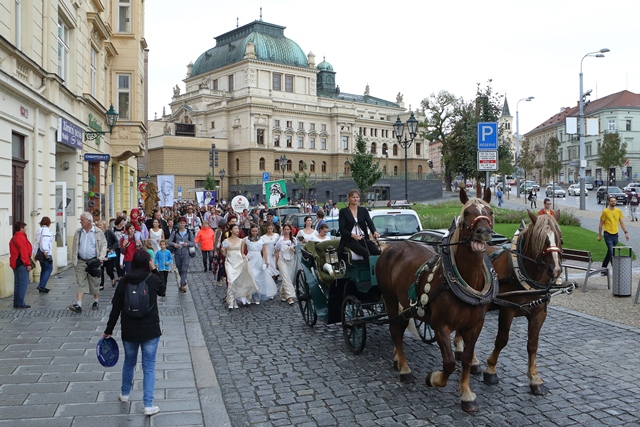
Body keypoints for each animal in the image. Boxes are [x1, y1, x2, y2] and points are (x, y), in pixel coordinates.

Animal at [376, 189, 496, 412]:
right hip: (389, 298)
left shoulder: (475, 326)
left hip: (405, 304)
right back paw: (404, 369)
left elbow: (466, 359)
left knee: (400, 328)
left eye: (490, 212)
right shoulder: (440, 325)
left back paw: (398, 359)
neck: (462, 280)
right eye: (467, 213)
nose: (483, 231)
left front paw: (466, 394)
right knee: (395, 329)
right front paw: (434, 379)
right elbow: (449, 363)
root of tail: (391, 247)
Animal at [450, 210, 564, 394]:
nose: (555, 270)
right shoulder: (507, 310)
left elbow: (533, 345)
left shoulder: (539, 313)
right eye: (540, 239)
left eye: (560, 238)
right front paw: (491, 370)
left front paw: (535, 378)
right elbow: (502, 340)